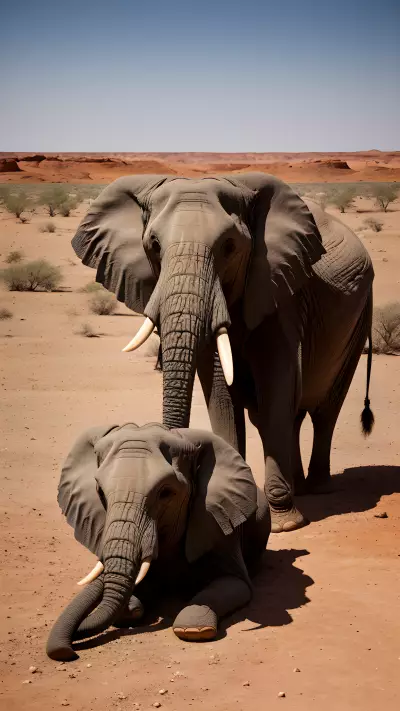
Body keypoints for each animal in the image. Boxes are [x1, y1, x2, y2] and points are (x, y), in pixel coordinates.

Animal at [46, 422, 270, 662]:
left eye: (166, 493)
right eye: (100, 492)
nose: (65, 651)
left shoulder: (218, 524)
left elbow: (234, 583)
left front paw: (194, 629)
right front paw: (132, 608)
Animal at [71, 173, 374, 533]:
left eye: (229, 247)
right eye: (154, 245)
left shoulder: (277, 289)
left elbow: (274, 389)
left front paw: (284, 524)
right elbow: (220, 395)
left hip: (360, 317)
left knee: (325, 410)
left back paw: (317, 487)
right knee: (295, 414)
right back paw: (300, 486)